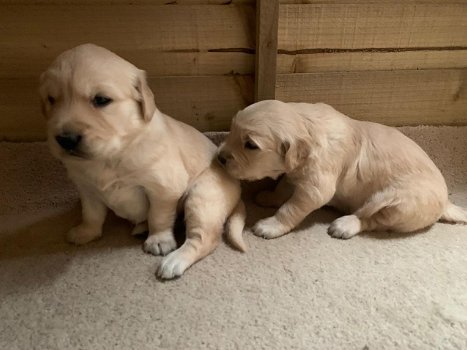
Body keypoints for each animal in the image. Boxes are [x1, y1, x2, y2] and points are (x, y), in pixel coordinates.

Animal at [39, 43, 249, 278]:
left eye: (101, 100)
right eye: (51, 99)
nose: (66, 139)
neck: (110, 155)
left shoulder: (164, 187)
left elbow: (159, 215)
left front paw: (159, 240)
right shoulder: (87, 188)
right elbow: (91, 213)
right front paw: (86, 232)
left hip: (202, 196)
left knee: (204, 238)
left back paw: (175, 260)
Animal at [219, 100, 467, 239]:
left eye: (251, 145)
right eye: (231, 130)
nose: (220, 158)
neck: (306, 126)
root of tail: (446, 203)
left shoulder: (316, 187)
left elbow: (290, 208)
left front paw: (271, 225)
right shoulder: (295, 173)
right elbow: (283, 187)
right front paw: (269, 196)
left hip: (397, 204)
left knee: (371, 219)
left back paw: (345, 225)